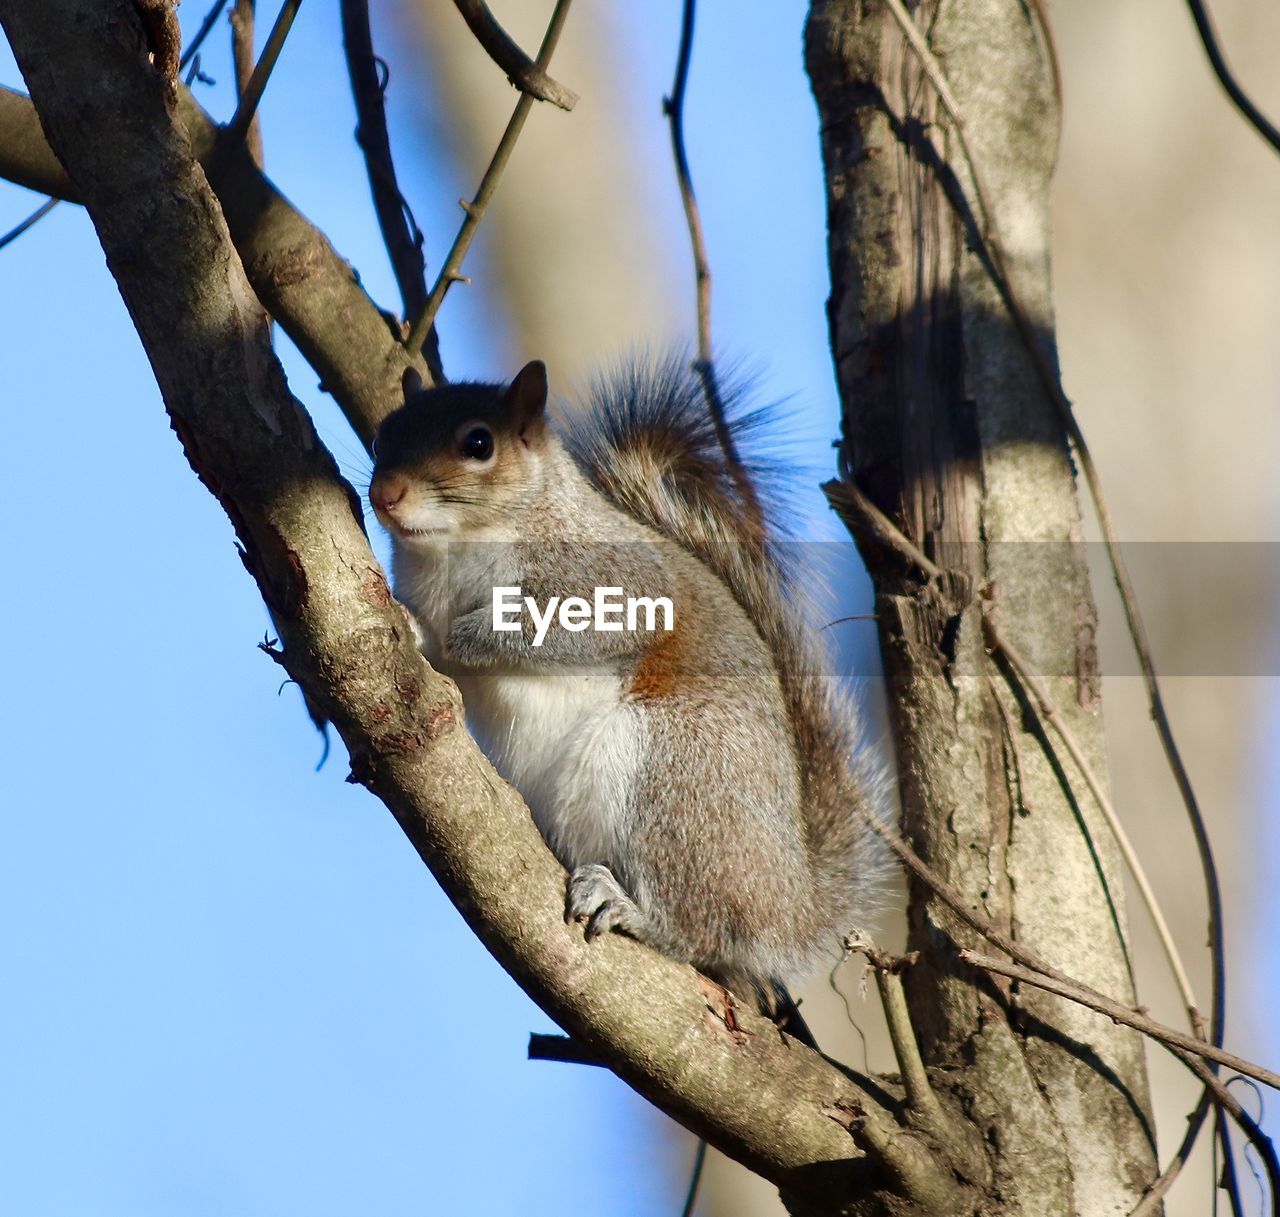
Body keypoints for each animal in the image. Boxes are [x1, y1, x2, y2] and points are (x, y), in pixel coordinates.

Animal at [368, 355, 890, 1039]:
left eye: (478, 444)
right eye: (383, 434)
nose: (385, 494)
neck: (455, 551)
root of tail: (791, 902)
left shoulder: (616, 583)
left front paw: (466, 635)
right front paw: (409, 624)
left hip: (674, 771)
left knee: (701, 927)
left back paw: (630, 909)